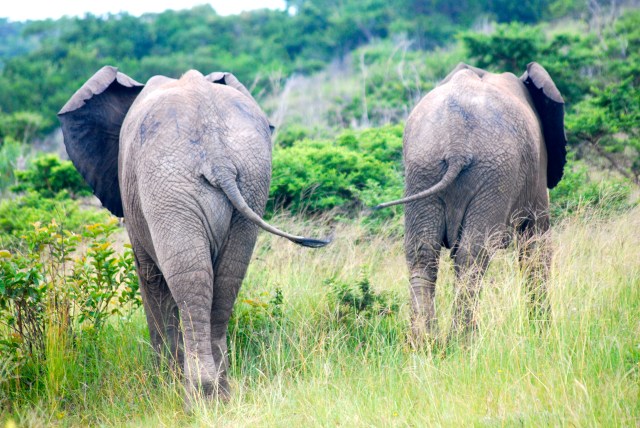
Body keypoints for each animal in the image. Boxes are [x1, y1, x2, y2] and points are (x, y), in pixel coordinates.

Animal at [58, 66, 329, 400]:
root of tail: (216, 151)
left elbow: (149, 277)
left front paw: (162, 383)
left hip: (169, 187)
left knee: (187, 278)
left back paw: (198, 397)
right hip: (251, 181)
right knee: (225, 277)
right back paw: (220, 395)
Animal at [376, 62, 567, 341]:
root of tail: (456, 143)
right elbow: (536, 247)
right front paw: (542, 333)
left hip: (422, 167)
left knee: (423, 252)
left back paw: (425, 343)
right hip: (496, 173)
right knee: (473, 254)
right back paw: (463, 341)